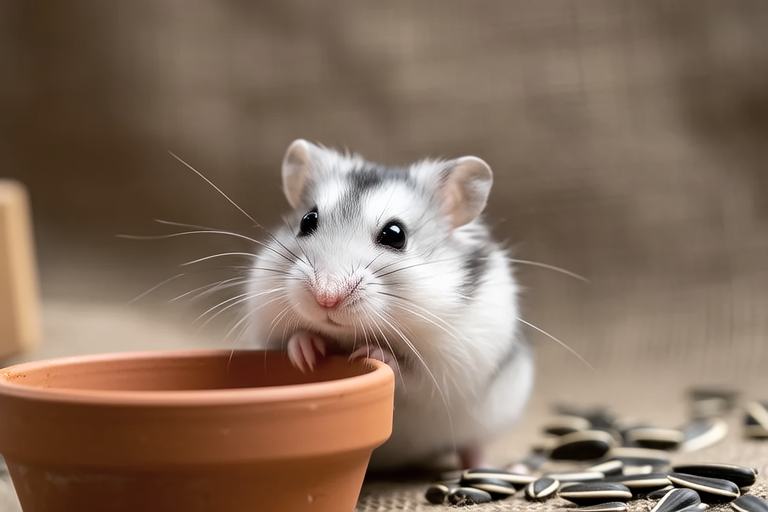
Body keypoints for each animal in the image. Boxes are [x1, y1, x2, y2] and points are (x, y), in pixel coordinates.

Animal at [243, 139, 534, 471]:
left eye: (395, 235)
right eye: (307, 221)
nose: (326, 298)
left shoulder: (449, 366)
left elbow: (409, 372)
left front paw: (370, 352)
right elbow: (288, 340)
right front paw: (306, 351)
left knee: (472, 448)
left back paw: (504, 468)